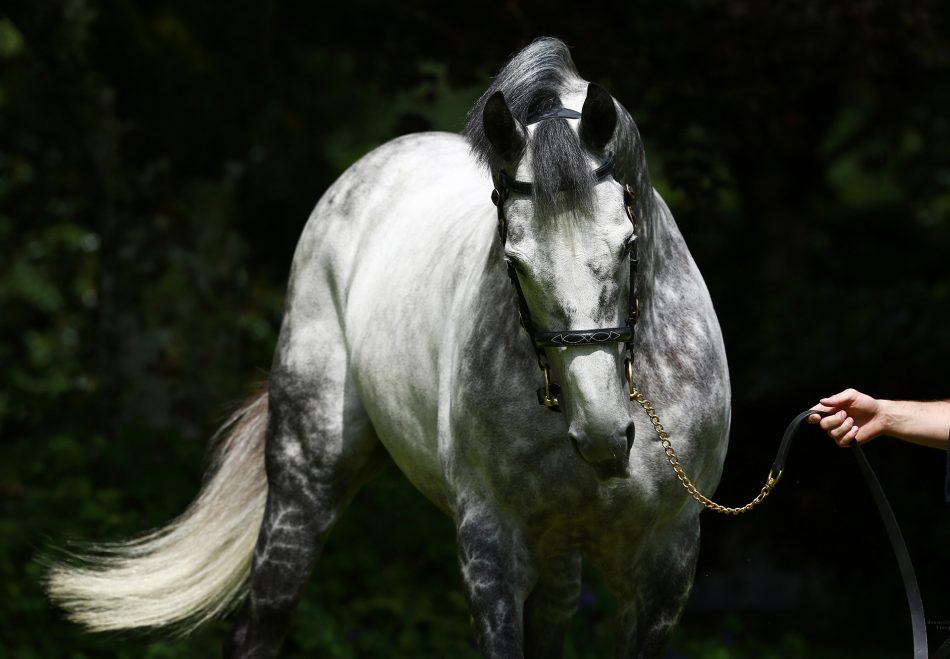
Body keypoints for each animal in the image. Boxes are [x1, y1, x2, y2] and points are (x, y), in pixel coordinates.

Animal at [44, 37, 732, 659]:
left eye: (627, 244)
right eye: (513, 260)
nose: (603, 434)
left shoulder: (666, 560)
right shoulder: (490, 546)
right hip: (305, 482)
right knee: (258, 629)